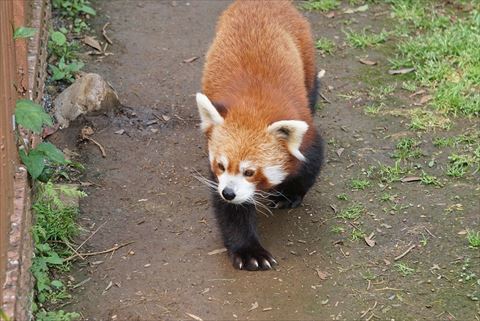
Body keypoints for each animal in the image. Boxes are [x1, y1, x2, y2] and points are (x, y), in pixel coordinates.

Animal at [197, 0, 324, 270]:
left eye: (250, 172)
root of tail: (259, 2)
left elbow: (311, 162)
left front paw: (289, 194)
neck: (253, 109)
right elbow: (232, 212)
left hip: (305, 52)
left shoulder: (306, 130)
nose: (228, 192)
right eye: (221, 166)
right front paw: (249, 251)